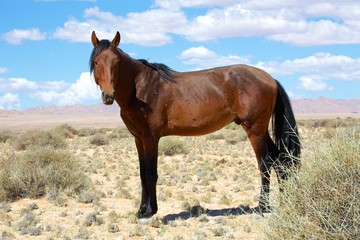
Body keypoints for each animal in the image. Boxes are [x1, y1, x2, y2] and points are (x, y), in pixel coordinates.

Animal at [90, 31, 300, 218]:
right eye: (97, 62)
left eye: (116, 62)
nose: (108, 96)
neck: (141, 89)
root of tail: (270, 79)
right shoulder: (138, 139)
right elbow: (142, 173)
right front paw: (141, 210)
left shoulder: (151, 138)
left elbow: (151, 173)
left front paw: (151, 211)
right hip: (262, 130)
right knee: (281, 160)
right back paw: (284, 201)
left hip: (255, 130)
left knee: (266, 163)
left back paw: (262, 206)